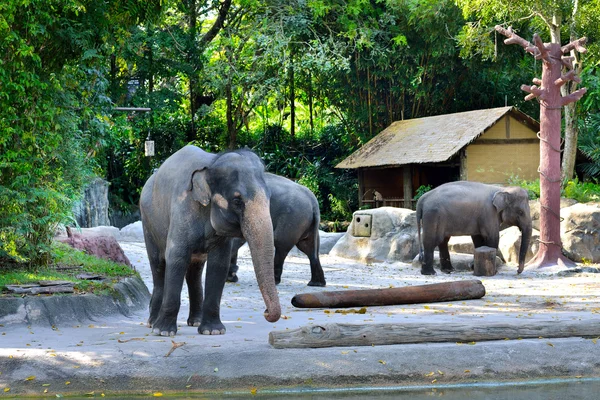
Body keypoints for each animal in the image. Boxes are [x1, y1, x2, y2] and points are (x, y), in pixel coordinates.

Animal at [140, 145, 282, 336]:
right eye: (237, 201)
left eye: (269, 197)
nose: (266, 312)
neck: (212, 162)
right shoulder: (182, 209)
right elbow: (176, 258)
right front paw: (164, 332)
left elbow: (219, 264)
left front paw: (213, 331)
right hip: (148, 223)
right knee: (158, 266)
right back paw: (152, 323)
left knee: (194, 272)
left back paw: (195, 321)